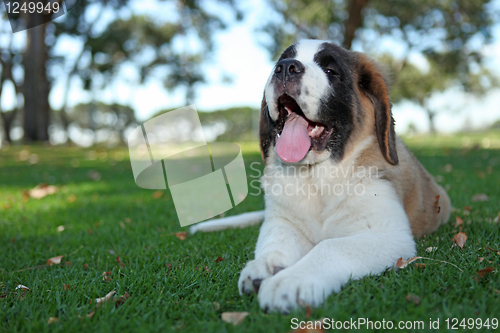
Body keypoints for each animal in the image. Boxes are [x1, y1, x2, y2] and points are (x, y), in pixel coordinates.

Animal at [190, 39, 450, 312]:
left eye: (330, 71)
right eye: (280, 62)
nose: (285, 68)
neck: (315, 178)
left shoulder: (388, 235)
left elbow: (331, 246)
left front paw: (290, 281)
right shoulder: (283, 221)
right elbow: (276, 239)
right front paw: (266, 264)